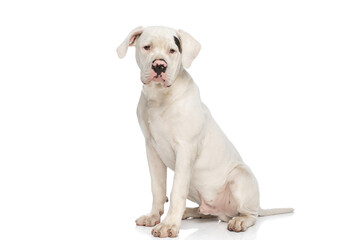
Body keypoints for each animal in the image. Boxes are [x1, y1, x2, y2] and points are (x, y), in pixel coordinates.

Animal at [117, 25, 292, 236]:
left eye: (172, 50)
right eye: (147, 47)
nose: (159, 66)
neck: (160, 96)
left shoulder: (185, 149)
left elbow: (176, 191)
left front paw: (169, 225)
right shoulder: (152, 150)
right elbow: (157, 188)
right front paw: (153, 216)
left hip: (240, 176)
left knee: (251, 214)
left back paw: (239, 220)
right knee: (206, 212)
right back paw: (189, 212)